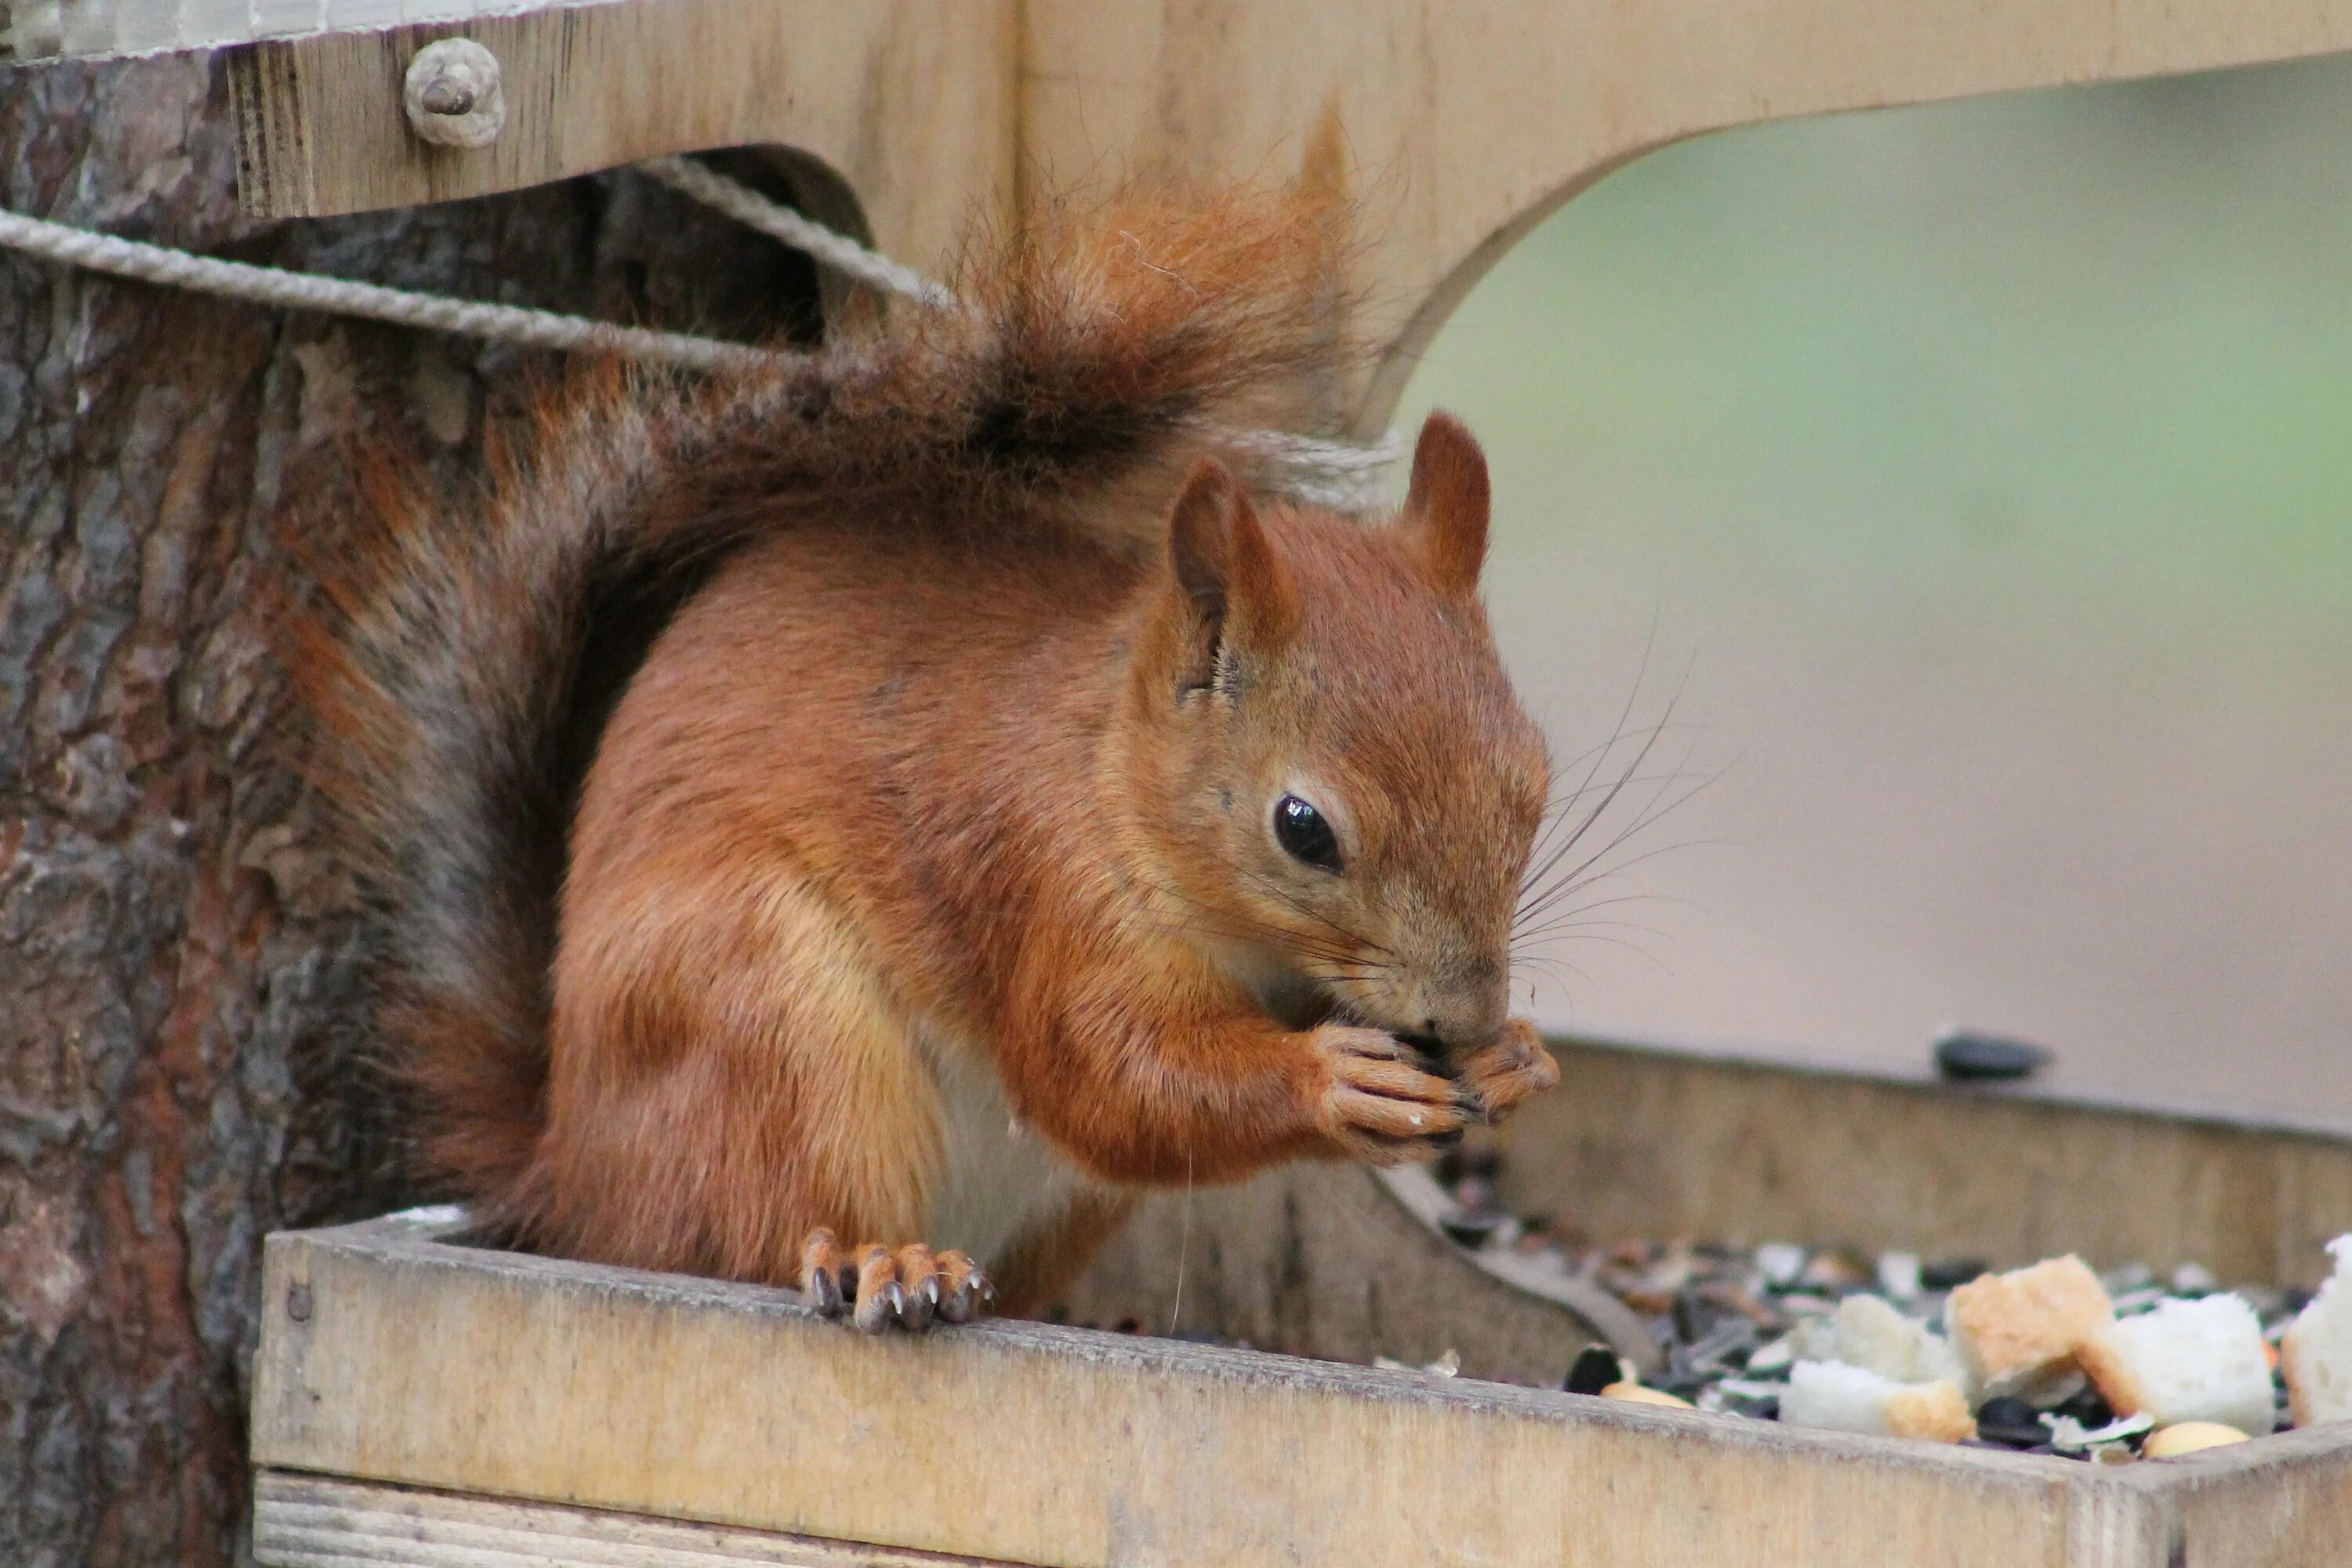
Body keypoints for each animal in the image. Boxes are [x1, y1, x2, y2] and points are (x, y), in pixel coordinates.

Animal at [313, 190, 1562, 1335]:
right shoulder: (1043, 882)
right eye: (1303, 828)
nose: (1464, 1012)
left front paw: (1517, 1061)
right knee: (748, 1230)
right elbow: (1111, 1078)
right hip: (763, 1019)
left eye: (1535, 784)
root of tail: (568, 1171)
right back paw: (880, 1260)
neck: (1112, 778)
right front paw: (1336, 1078)